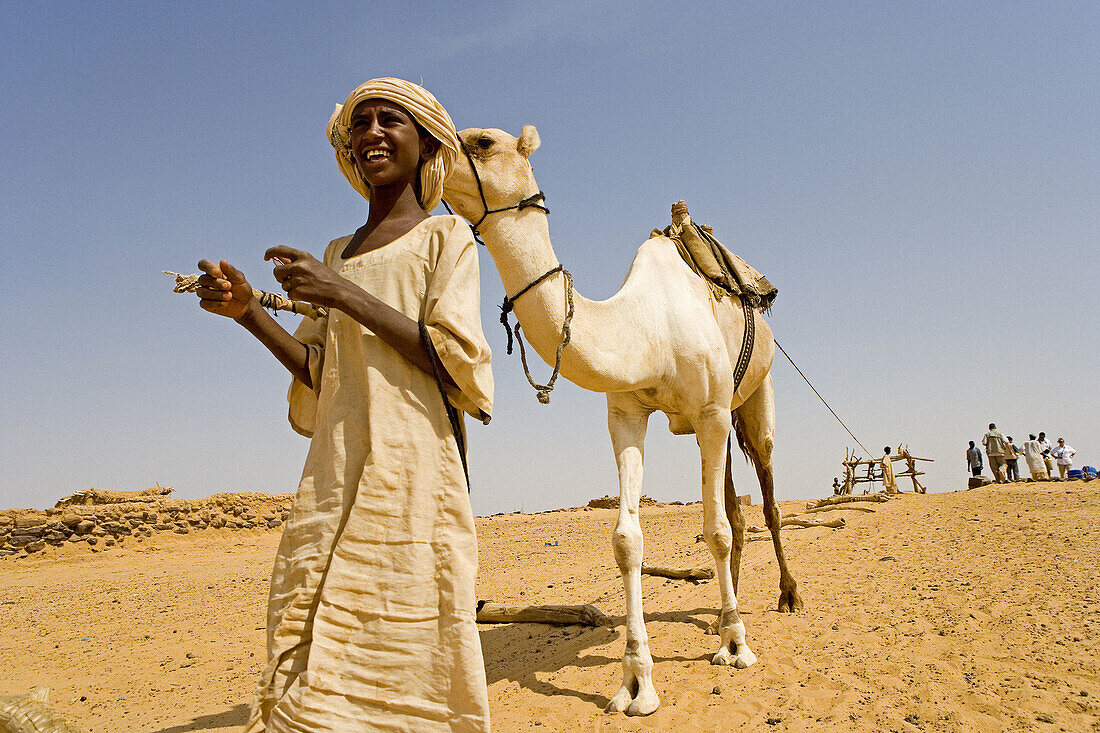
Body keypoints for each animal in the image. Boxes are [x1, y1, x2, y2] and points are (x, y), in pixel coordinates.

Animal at [442, 125, 805, 713]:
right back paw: (719, 612)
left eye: (481, 142)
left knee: (767, 496)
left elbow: (716, 529)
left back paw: (784, 597)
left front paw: (736, 646)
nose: (426, 144)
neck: (646, 329)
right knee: (734, 506)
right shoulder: (628, 416)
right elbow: (629, 539)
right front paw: (636, 682)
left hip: (753, 399)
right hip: (719, 420)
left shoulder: (709, 412)